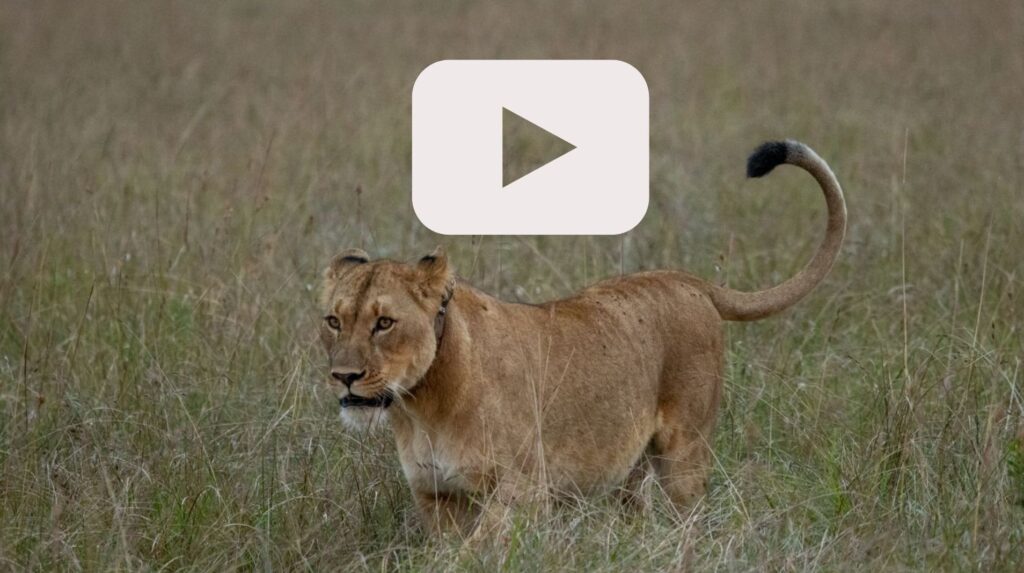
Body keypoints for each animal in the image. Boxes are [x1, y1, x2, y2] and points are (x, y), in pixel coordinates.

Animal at [318, 140, 845, 536]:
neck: (421, 407)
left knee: (689, 517)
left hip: (684, 453)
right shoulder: (437, 497)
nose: (344, 377)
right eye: (333, 322)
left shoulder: (521, 495)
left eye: (384, 323)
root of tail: (687, 279)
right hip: (631, 464)